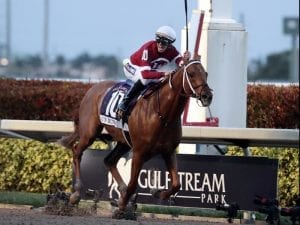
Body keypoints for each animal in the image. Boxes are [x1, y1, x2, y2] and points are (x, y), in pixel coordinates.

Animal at [58, 57, 212, 219]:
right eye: (191, 74)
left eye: (206, 74)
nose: (207, 96)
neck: (163, 115)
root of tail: (92, 89)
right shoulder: (139, 153)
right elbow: (133, 185)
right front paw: (120, 208)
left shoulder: (168, 151)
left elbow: (177, 184)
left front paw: (158, 193)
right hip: (89, 133)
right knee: (77, 151)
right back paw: (76, 192)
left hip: (123, 141)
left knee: (109, 160)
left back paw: (121, 191)